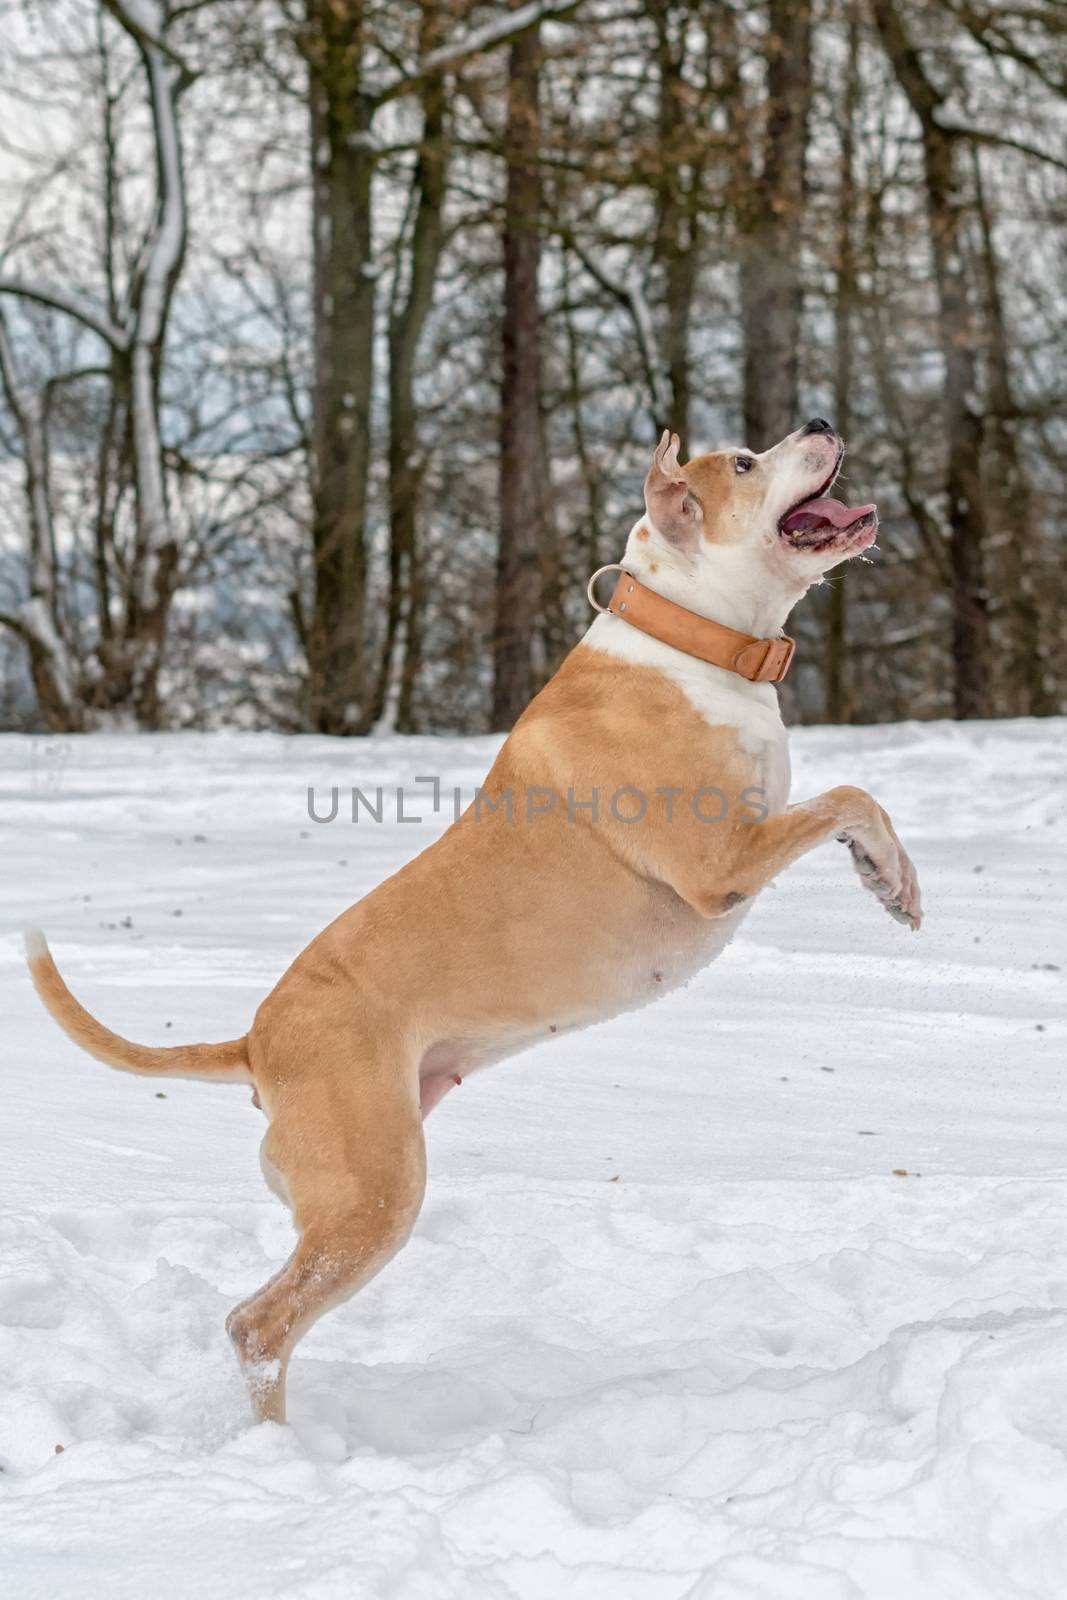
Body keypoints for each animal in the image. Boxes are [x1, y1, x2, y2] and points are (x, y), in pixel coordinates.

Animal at [29, 419, 921, 1420]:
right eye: (741, 463)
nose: (818, 425)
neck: (694, 637)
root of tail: (257, 1041)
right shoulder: (717, 866)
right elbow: (847, 797)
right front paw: (890, 874)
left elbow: (854, 803)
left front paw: (890, 882)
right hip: (374, 1191)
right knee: (258, 1324)